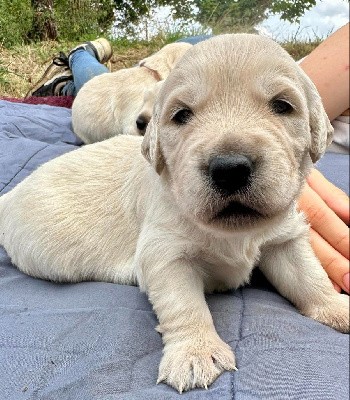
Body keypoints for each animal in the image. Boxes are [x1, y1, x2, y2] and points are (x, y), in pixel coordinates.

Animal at [0, 33, 348, 390]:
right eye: (181, 115)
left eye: (282, 106)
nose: (230, 169)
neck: (233, 233)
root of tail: (8, 197)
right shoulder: (164, 254)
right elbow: (184, 303)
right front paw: (195, 351)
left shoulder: (284, 239)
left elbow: (310, 276)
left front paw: (337, 307)